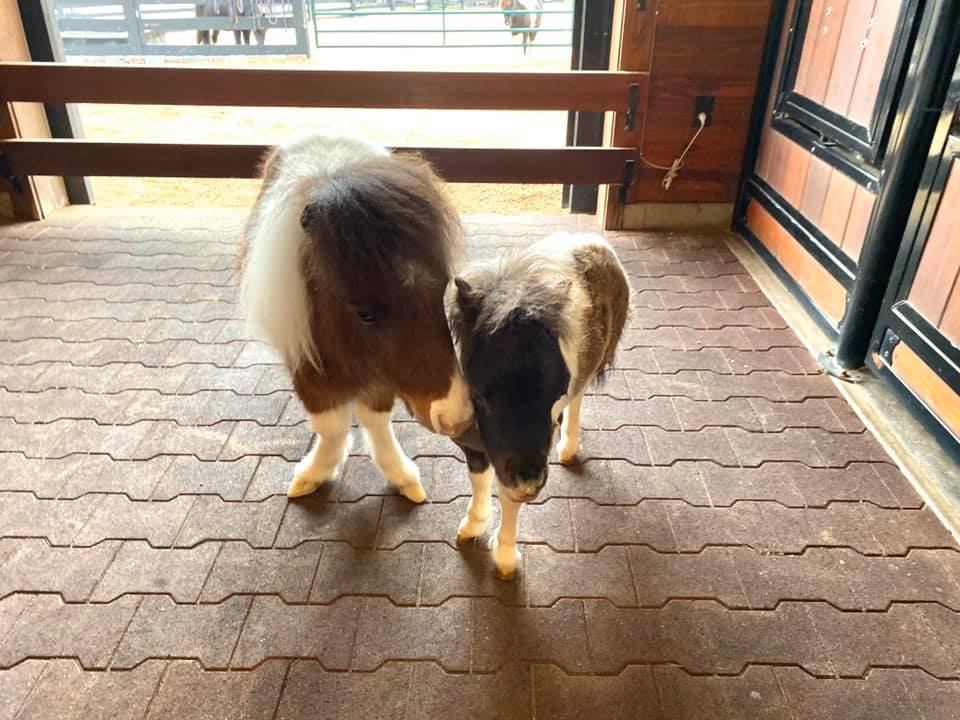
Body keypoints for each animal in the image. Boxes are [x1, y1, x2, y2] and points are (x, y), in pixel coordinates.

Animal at [240, 136, 472, 506]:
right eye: (365, 314)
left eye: (442, 294)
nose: (456, 416)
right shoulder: (308, 371)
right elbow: (331, 428)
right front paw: (313, 475)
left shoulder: (380, 382)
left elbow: (376, 422)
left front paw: (402, 477)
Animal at [448, 233, 632, 584]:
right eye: (479, 394)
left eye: (556, 390)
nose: (528, 483)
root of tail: (594, 240)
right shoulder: (474, 443)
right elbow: (479, 478)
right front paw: (472, 526)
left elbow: (508, 498)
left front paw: (505, 556)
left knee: (579, 398)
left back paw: (569, 447)